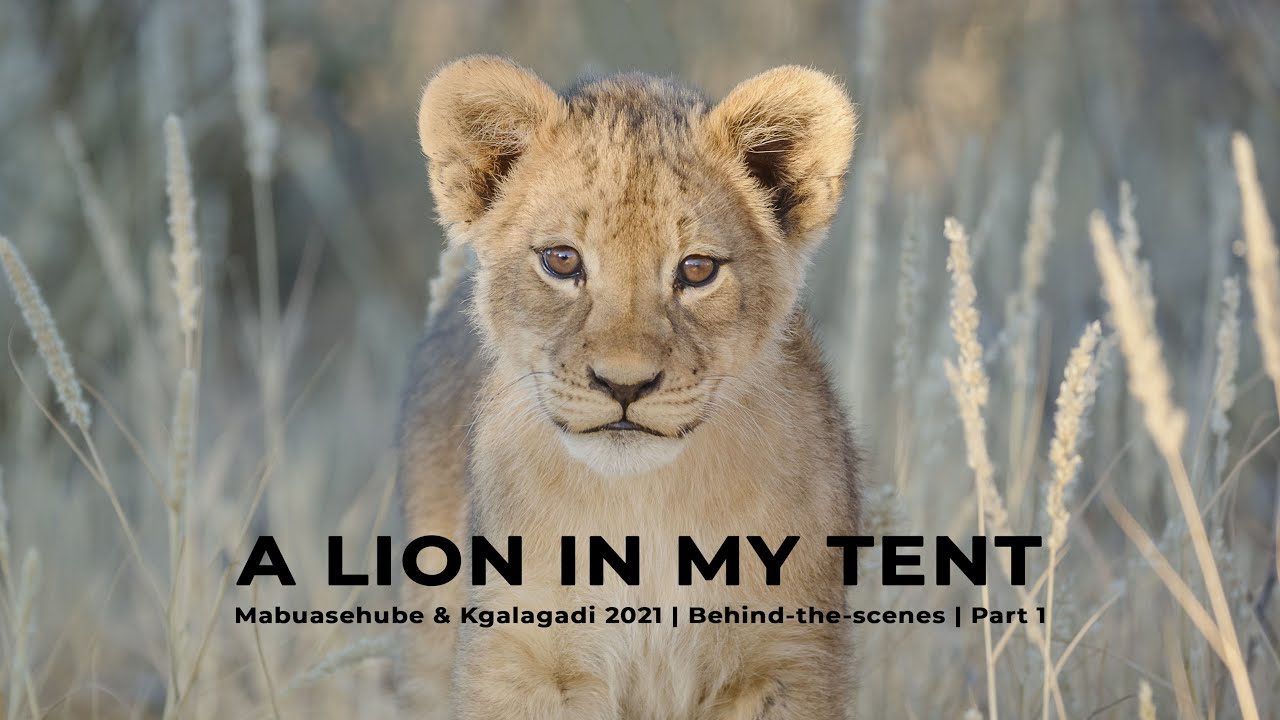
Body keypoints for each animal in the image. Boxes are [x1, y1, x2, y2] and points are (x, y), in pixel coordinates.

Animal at [397, 56, 861, 719]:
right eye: (562, 260)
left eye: (697, 270)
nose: (624, 384)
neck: (645, 510)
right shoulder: (517, 660)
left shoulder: (790, 660)